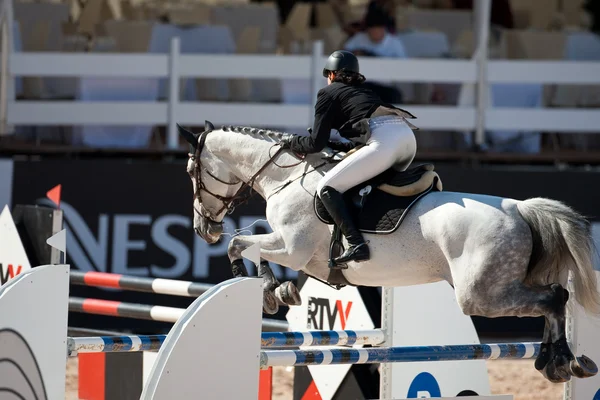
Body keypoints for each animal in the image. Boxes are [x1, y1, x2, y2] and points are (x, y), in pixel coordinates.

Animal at [179, 120, 600, 382]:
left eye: (192, 173)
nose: (204, 229)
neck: (286, 176)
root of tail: (519, 208)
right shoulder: (305, 258)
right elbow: (269, 259)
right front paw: (279, 291)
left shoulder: (292, 247)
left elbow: (243, 246)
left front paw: (263, 290)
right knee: (554, 299)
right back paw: (556, 361)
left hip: (481, 294)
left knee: (554, 297)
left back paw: (561, 361)